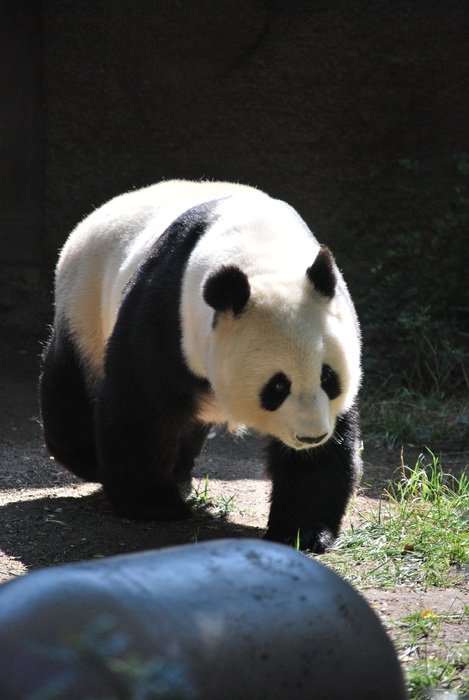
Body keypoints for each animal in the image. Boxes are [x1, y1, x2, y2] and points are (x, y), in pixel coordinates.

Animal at [40, 180, 362, 553]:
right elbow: (140, 404)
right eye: (278, 386)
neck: (262, 253)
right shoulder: (167, 310)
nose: (311, 436)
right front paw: (153, 503)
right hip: (85, 306)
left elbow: (324, 454)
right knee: (72, 392)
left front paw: (303, 531)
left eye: (328, 377)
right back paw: (92, 460)